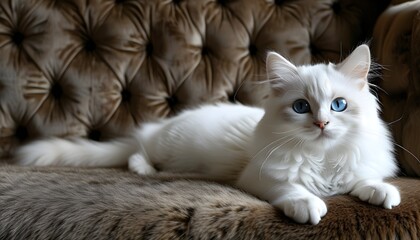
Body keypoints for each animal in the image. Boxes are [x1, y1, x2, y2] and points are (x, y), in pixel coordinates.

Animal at [15, 44, 400, 225]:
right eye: (301, 107)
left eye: (338, 105)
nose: (322, 124)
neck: (321, 158)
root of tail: (162, 126)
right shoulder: (261, 177)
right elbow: (292, 189)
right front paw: (308, 205)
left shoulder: (357, 166)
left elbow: (364, 179)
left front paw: (383, 193)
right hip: (163, 145)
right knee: (135, 151)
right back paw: (145, 169)